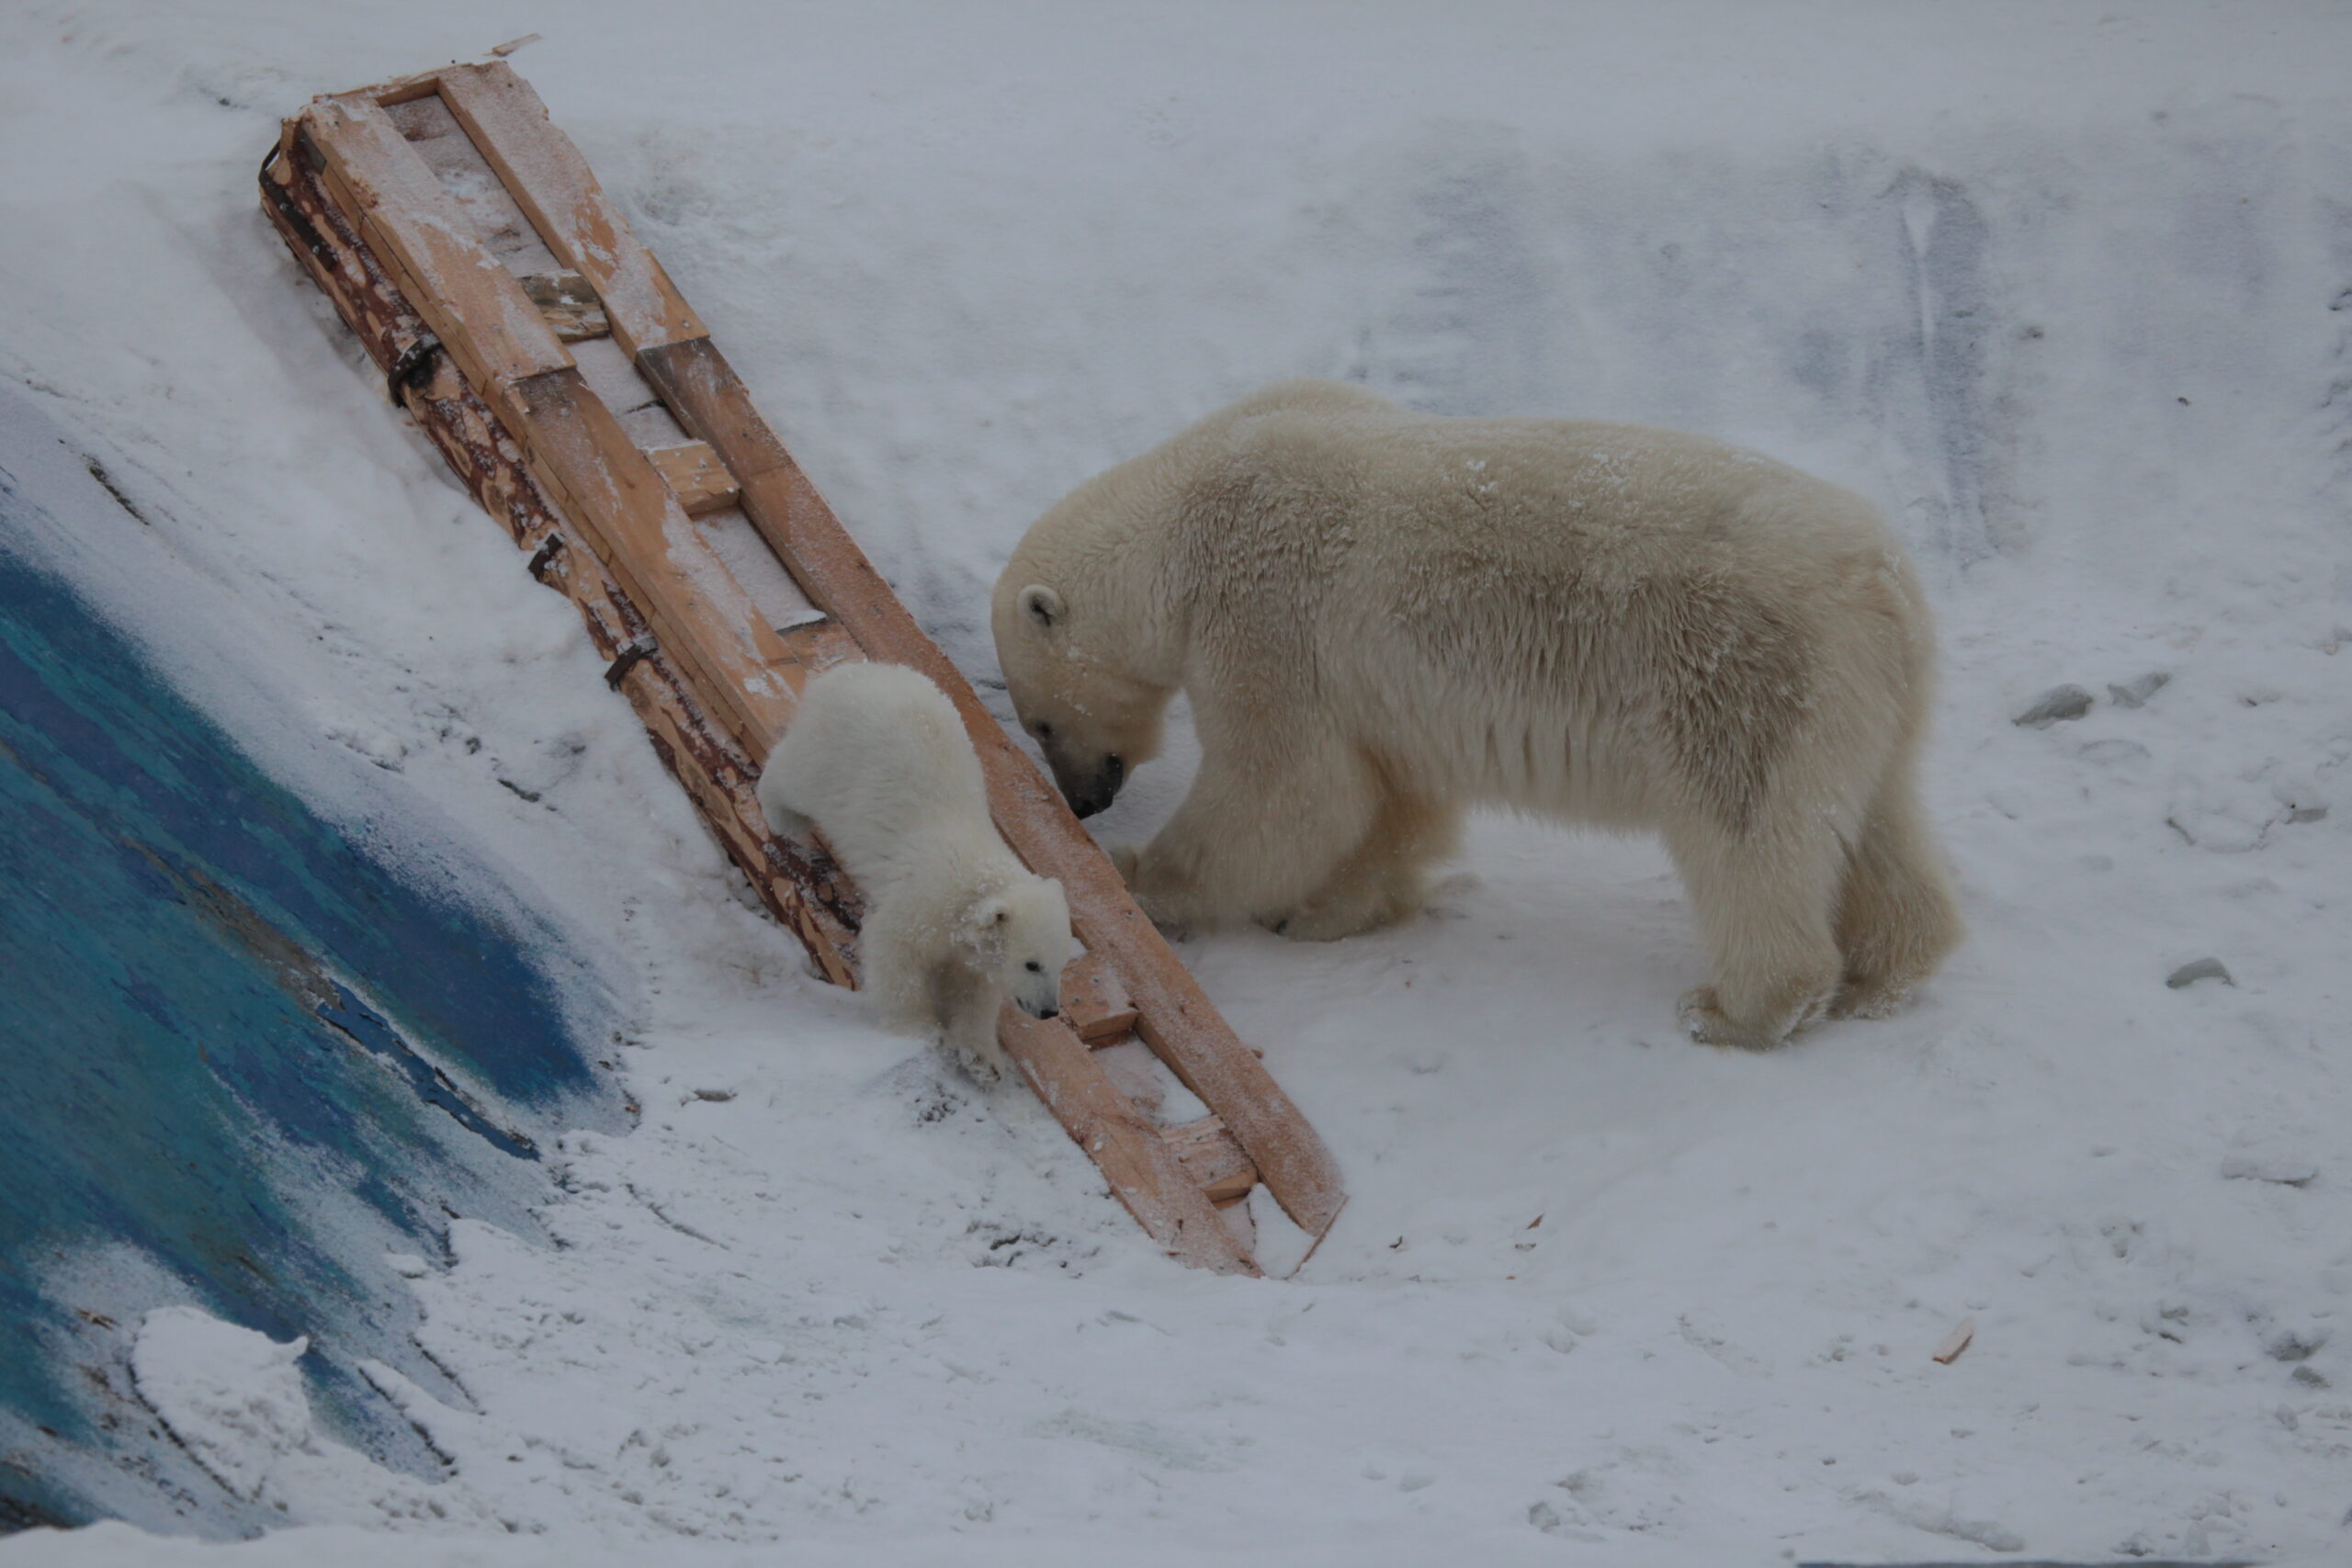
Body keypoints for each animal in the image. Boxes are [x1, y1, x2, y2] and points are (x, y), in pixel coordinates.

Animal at [997, 380, 1966, 1048]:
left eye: (1040, 720)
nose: (1083, 802)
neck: (1191, 506)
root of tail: (1879, 584)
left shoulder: (1266, 617)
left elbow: (1285, 789)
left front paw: (1136, 874)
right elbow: (1392, 795)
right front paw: (1325, 909)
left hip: (1738, 672)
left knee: (1745, 832)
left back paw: (1739, 1007)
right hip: (1861, 698)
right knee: (1874, 818)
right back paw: (1885, 971)